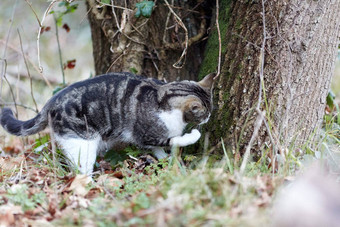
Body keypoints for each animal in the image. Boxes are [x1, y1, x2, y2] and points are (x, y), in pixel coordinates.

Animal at [0, 72, 215, 175]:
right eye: (205, 112)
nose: (209, 117)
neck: (162, 95)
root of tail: (51, 101)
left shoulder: (151, 140)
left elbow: (160, 149)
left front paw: (165, 160)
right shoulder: (145, 134)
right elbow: (173, 139)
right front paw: (192, 135)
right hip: (83, 142)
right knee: (80, 170)